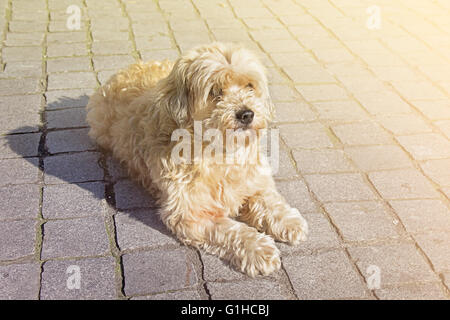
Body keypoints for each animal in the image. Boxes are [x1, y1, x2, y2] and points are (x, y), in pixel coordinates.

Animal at [86, 42, 308, 276]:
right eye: (215, 92)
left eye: (249, 85)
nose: (247, 114)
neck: (220, 153)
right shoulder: (190, 215)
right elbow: (229, 229)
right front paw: (257, 248)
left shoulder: (255, 181)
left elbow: (269, 200)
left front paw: (288, 221)